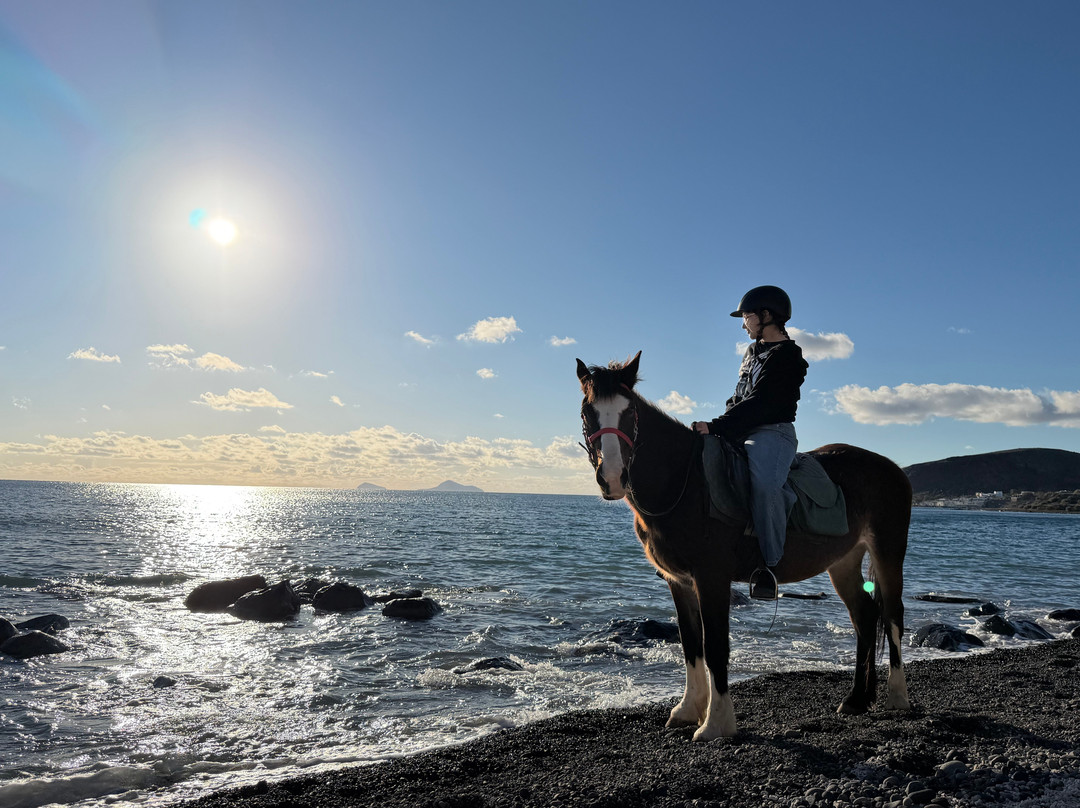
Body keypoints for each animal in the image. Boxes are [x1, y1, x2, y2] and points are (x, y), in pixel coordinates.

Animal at [576, 351, 913, 740]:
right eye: (587, 412)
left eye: (629, 412)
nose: (613, 477)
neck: (685, 481)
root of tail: (892, 469)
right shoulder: (679, 581)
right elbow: (691, 644)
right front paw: (689, 710)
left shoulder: (712, 577)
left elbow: (715, 646)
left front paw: (716, 723)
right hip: (843, 562)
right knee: (865, 617)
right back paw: (857, 699)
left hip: (888, 551)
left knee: (893, 615)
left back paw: (897, 695)